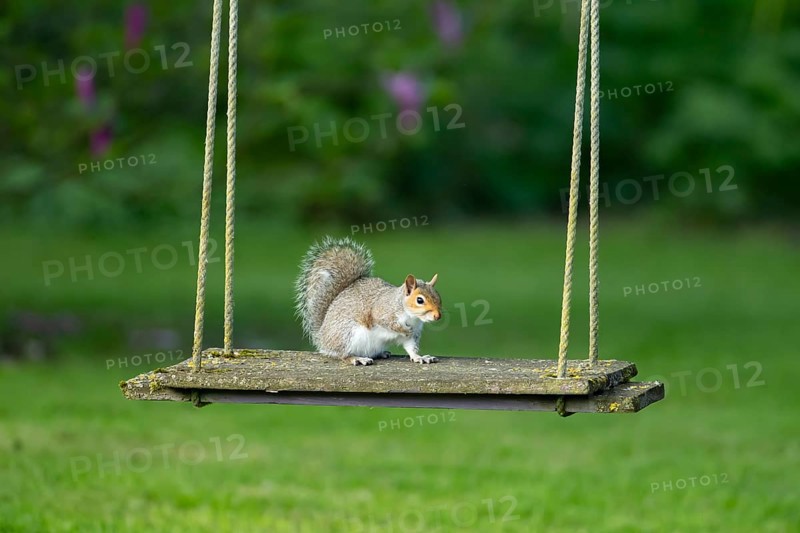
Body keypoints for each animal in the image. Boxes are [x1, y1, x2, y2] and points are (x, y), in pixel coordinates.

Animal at [295, 236, 442, 366]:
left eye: (438, 296)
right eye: (419, 300)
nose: (438, 316)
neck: (411, 315)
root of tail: (322, 337)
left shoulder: (413, 334)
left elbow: (411, 347)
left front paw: (419, 357)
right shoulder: (383, 311)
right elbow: (387, 322)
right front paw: (404, 329)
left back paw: (381, 353)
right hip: (347, 335)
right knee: (342, 354)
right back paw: (356, 358)